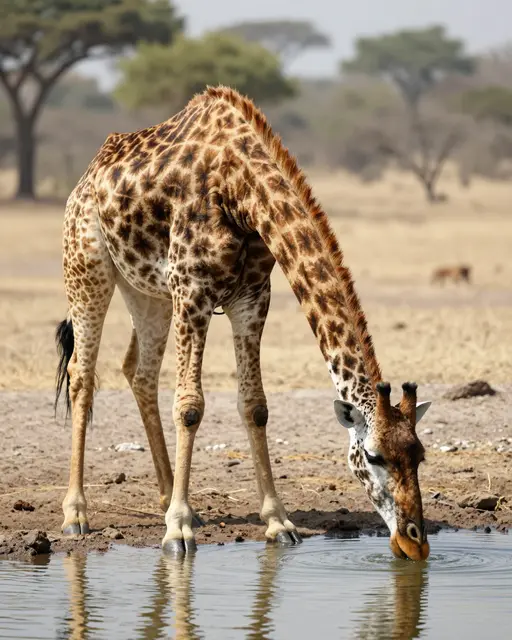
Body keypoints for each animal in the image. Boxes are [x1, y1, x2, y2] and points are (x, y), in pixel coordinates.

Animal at [55, 86, 432, 560]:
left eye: (419, 455)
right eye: (374, 456)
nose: (415, 542)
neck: (239, 189)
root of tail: (84, 178)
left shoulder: (252, 298)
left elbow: (255, 406)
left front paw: (277, 522)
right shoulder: (193, 291)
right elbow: (190, 406)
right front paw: (177, 531)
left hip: (147, 293)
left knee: (139, 372)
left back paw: (171, 498)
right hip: (88, 269)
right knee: (82, 375)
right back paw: (76, 514)